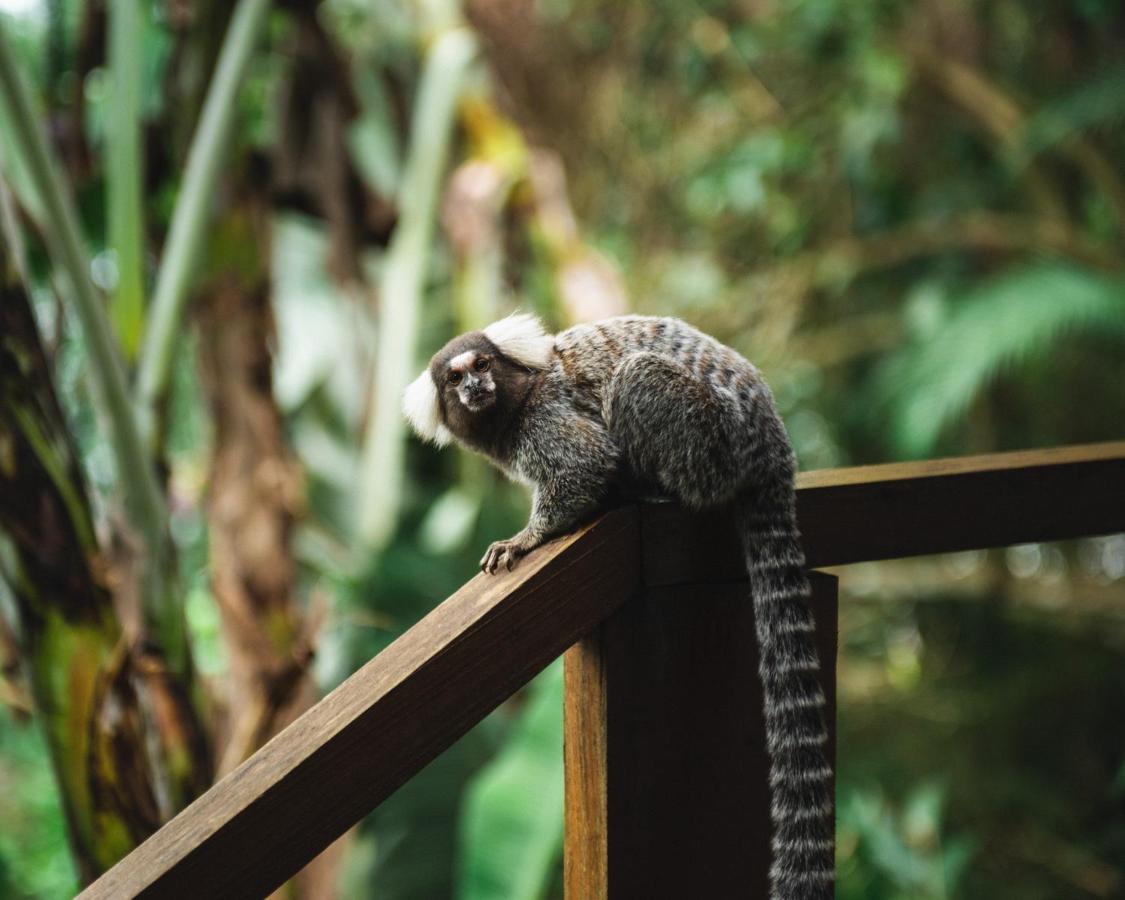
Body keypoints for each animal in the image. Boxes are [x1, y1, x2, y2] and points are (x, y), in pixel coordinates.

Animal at [400, 312, 832, 895]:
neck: (517, 400)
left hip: (711, 439)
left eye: (483, 364)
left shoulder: (547, 419)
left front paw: (528, 537)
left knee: (636, 379)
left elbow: (584, 464)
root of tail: (772, 447)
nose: (474, 387)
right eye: (455, 377)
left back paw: (647, 489)